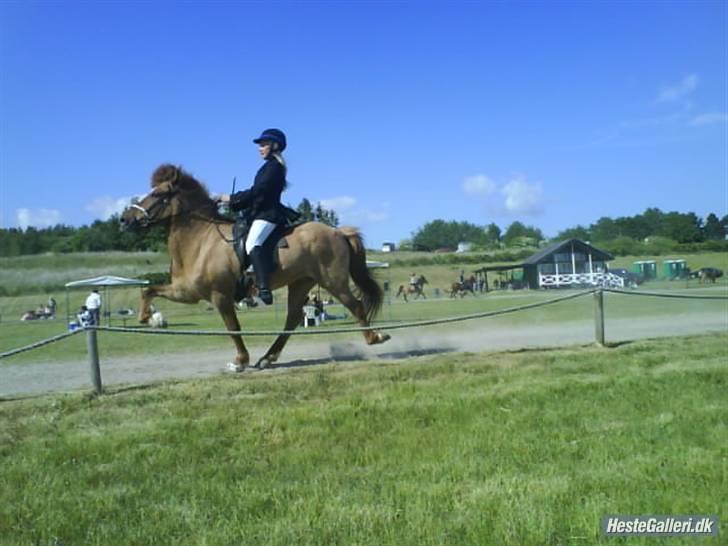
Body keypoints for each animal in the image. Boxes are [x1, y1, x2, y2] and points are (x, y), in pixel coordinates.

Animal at [121, 164, 392, 368]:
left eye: (158, 194)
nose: (125, 219)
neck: (200, 240)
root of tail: (338, 232)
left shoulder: (219, 296)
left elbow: (233, 328)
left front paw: (240, 361)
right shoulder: (186, 291)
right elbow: (148, 290)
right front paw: (146, 317)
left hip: (333, 280)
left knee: (355, 306)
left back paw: (375, 337)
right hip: (301, 283)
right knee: (293, 318)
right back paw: (268, 357)